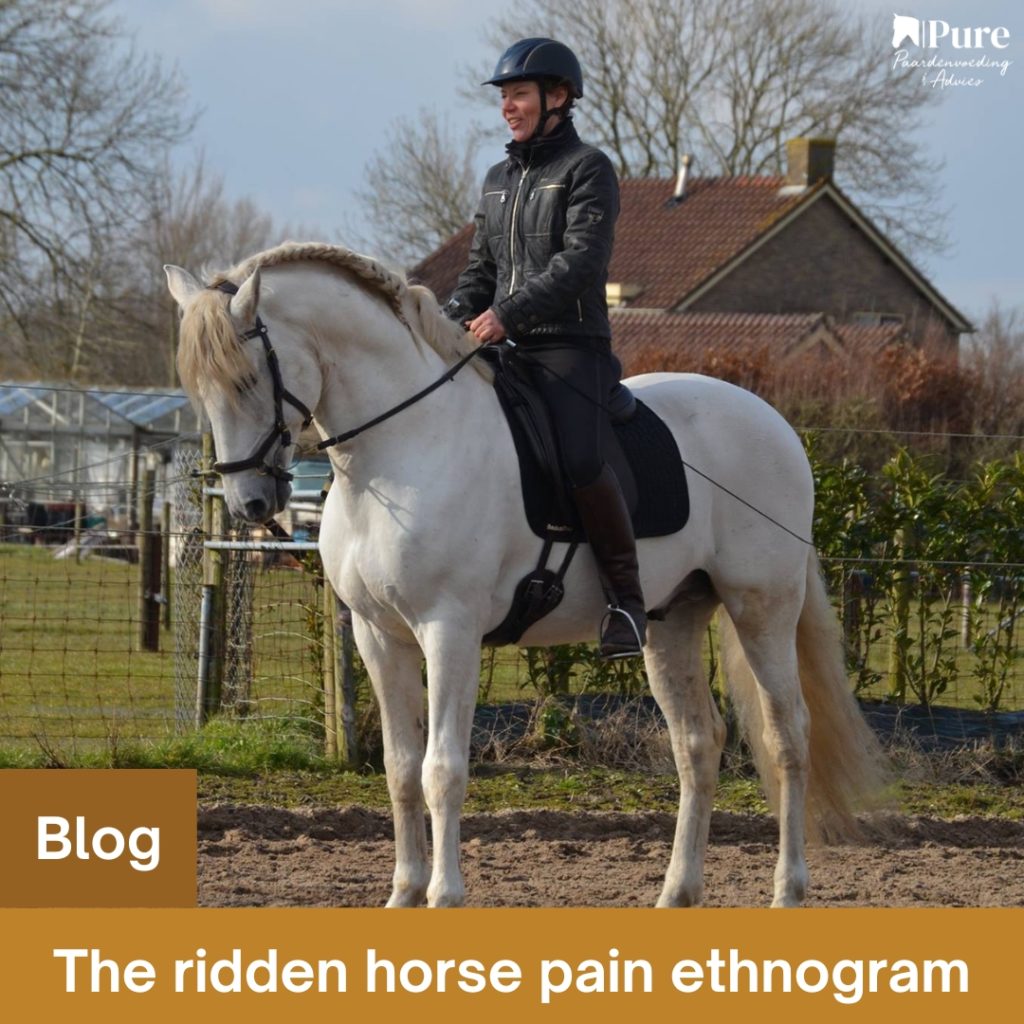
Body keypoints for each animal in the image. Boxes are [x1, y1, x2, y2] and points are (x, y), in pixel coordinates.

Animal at [165, 242, 884, 909]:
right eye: (200, 390)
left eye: (247, 380)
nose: (251, 504)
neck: (402, 441)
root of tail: (776, 423)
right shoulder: (378, 635)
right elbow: (400, 769)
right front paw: (404, 892)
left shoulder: (448, 632)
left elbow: (441, 770)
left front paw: (444, 895)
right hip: (670, 622)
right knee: (698, 743)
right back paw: (677, 891)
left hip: (763, 609)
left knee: (787, 737)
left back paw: (787, 889)